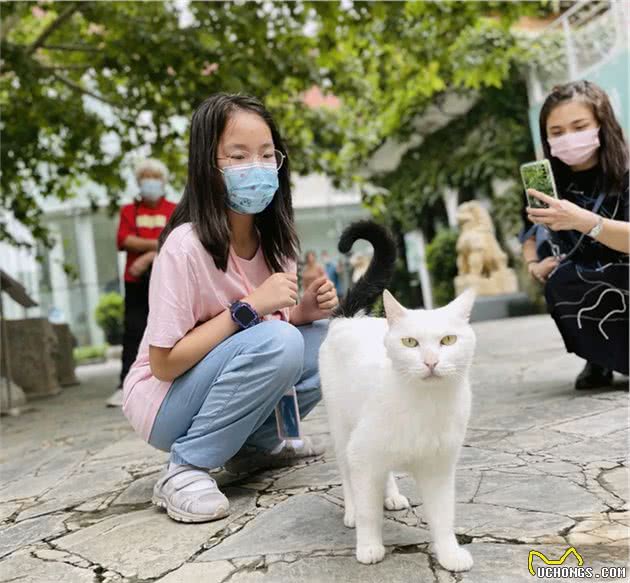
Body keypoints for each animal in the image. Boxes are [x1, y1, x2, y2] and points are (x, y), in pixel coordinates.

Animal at [324, 221, 476, 572]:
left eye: (448, 340)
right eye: (410, 342)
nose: (431, 361)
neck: (425, 405)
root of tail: (348, 318)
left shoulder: (438, 468)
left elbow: (443, 517)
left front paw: (449, 554)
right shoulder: (362, 453)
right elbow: (369, 511)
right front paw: (369, 546)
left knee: (386, 473)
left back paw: (391, 496)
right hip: (342, 430)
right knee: (348, 476)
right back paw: (352, 511)